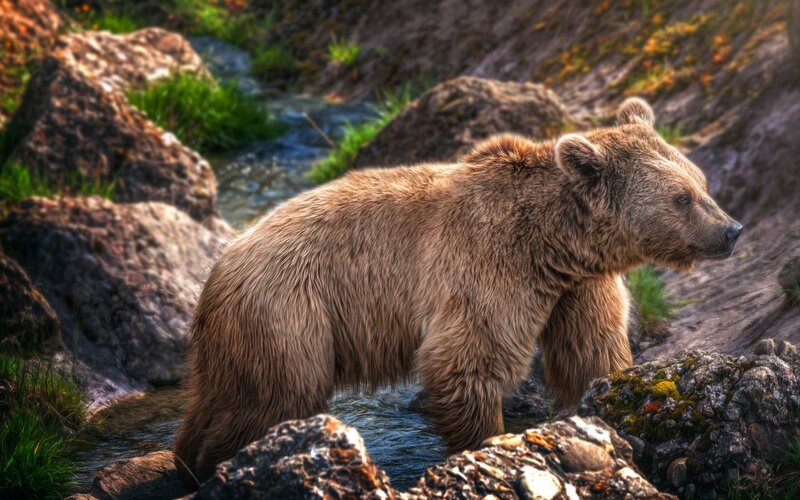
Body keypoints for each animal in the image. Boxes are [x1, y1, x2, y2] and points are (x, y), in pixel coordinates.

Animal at [174, 98, 742, 484]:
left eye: (700, 182)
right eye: (681, 196)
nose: (732, 229)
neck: (555, 244)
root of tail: (220, 264)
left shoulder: (577, 290)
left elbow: (590, 352)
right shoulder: (487, 268)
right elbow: (468, 361)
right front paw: (488, 443)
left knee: (219, 398)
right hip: (289, 313)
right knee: (273, 400)